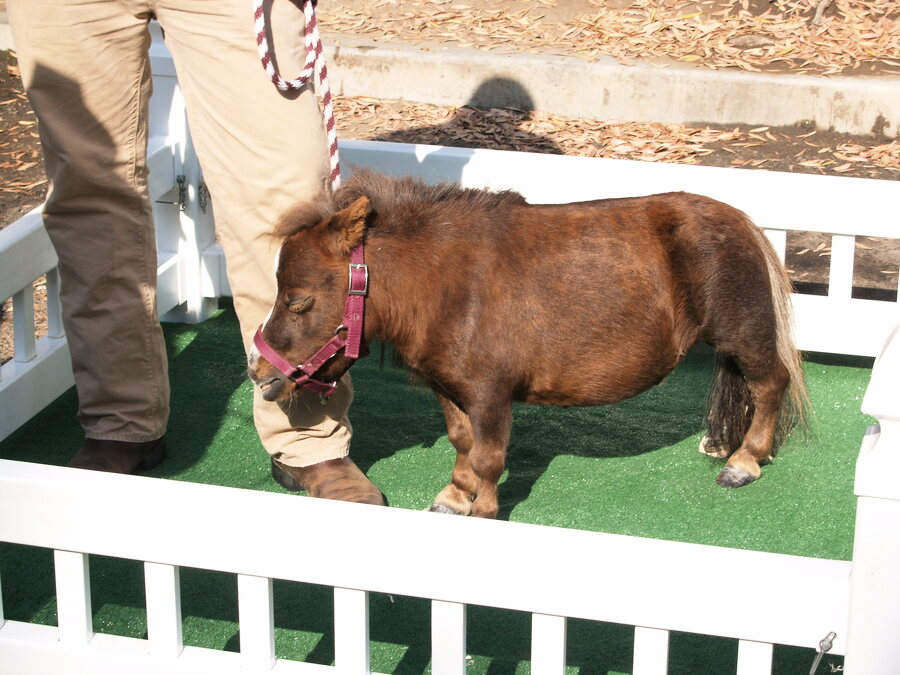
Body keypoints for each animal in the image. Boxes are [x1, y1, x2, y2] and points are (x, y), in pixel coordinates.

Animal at [250, 172, 812, 520]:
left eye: (299, 301)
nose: (260, 374)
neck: (448, 287)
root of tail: (742, 221)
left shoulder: (490, 395)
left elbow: (489, 458)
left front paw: (483, 510)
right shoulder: (450, 389)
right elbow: (462, 442)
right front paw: (454, 497)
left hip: (743, 332)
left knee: (770, 383)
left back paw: (745, 461)